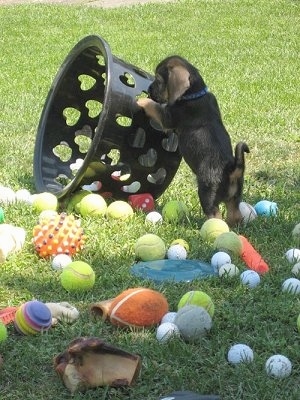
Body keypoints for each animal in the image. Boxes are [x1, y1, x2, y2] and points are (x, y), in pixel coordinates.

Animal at [137, 54, 250, 227]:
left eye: (159, 80)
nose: (149, 90)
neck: (195, 94)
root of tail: (231, 169)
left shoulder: (167, 119)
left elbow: (154, 106)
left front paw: (142, 101)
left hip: (207, 193)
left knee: (215, 216)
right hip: (235, 197)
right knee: (235, 215)